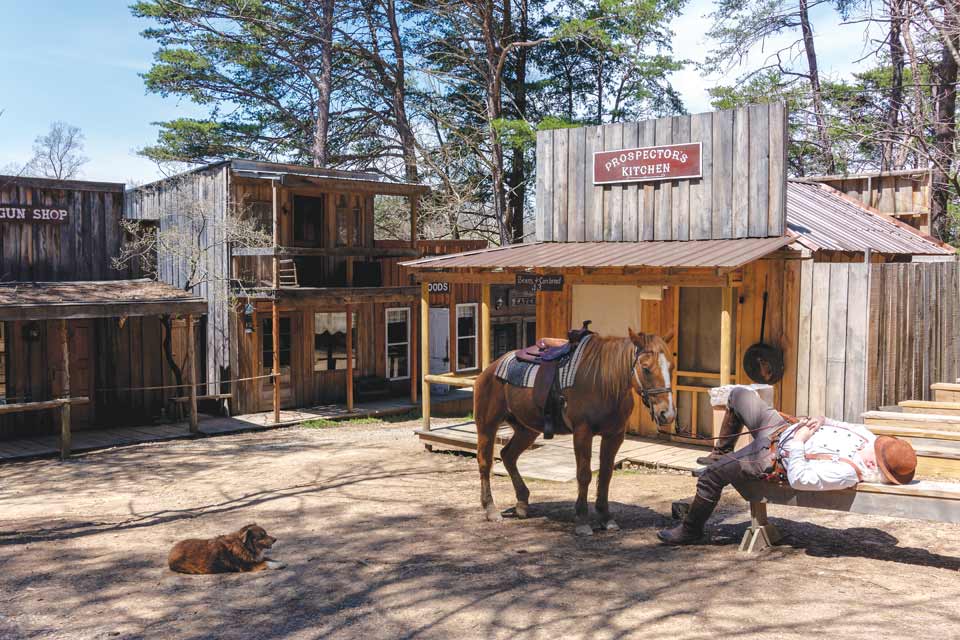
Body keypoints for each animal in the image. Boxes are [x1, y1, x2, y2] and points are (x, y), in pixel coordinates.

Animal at [472, 330, 676, 536]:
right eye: (646, 368)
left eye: (671, 367)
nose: (667, 414)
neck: (603, 382)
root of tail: (491, 369)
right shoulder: (582, 432)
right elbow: (584, 475)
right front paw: (582, 520)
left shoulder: (614, 435)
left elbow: (605, 475)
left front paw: (605, 517)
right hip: (487, 425)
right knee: (485, 462)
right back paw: (491, 509)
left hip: (526, 430)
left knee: (508, 456)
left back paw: (522, 503)